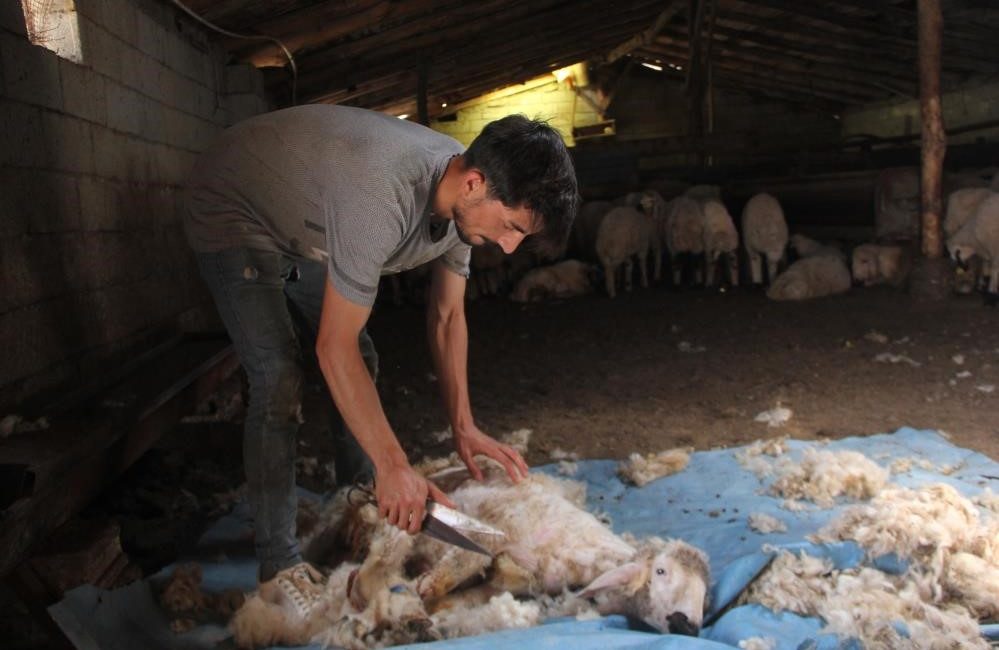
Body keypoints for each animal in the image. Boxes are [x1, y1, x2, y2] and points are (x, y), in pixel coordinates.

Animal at [231, 464, 712, 644]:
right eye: (662, 572)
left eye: (706, 594)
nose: (686, 625)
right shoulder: (483, 518)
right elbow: (472, 557)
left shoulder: (499, 586)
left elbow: (462, 592)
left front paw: (419, 615)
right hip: (349, 513)